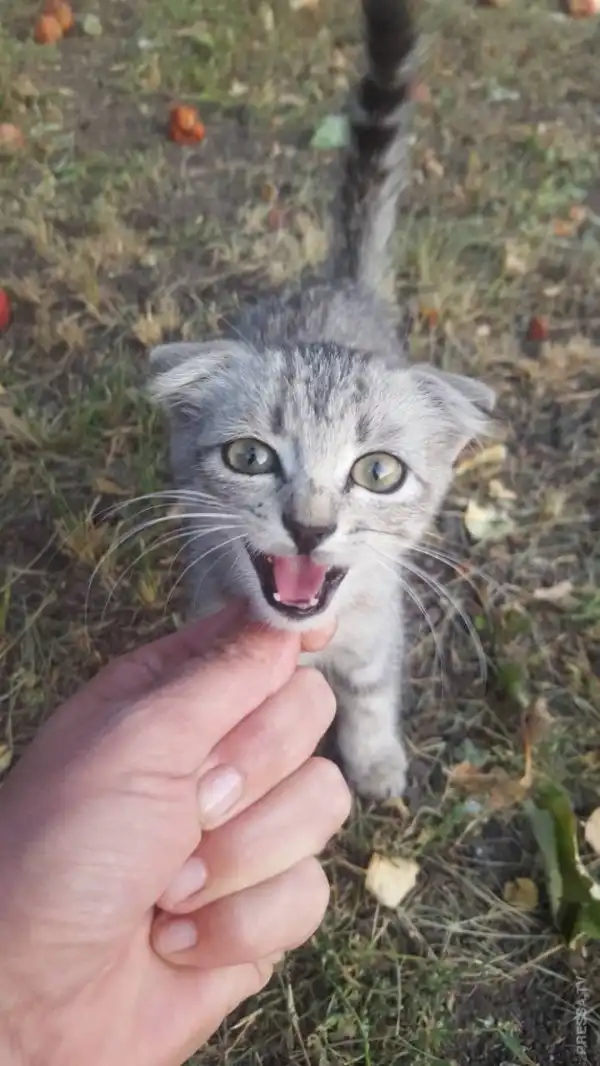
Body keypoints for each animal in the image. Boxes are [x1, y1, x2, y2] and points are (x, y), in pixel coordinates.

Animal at [148, 0, 495, 800]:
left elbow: (369, 690)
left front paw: (375, 761)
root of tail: (339, 282)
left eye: (378, 472)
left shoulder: (379, 628)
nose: (309, 527)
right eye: (249, 457)